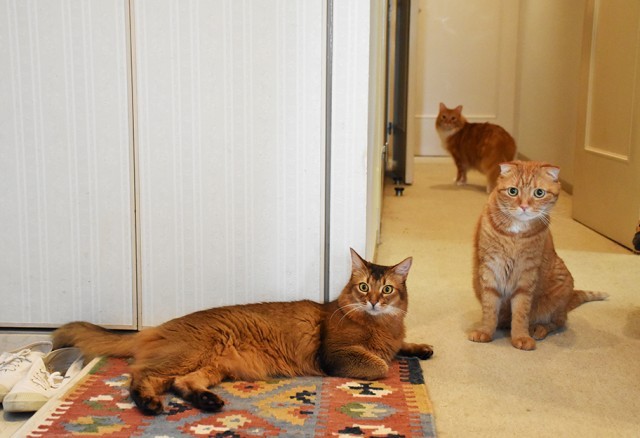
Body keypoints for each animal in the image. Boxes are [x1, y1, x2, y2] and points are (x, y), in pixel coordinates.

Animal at [53, 248, 433, 415]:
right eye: (364, 287)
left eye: (387, 290)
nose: (374, 302)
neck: (380, 324)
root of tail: (158, 326)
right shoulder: (335, 356)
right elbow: (380, 365)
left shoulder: (392, 337)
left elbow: (400, 347)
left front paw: (420, 347)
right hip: (190, 353)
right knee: (140, 374)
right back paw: (148, 404)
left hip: (210, 365)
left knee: (181, 383)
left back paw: (206, 402)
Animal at [468, 161, 607, 350]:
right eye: (513, 191)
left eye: (539, 193)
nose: (524, 206)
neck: (516, 232)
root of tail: (568, 300)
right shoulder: (490, 267)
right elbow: (489, 308)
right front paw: (485, 331)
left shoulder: (527, 274)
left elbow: (521, 312)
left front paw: (521, 336)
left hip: (560, 289)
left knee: (557, 322)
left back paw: (538, 329)